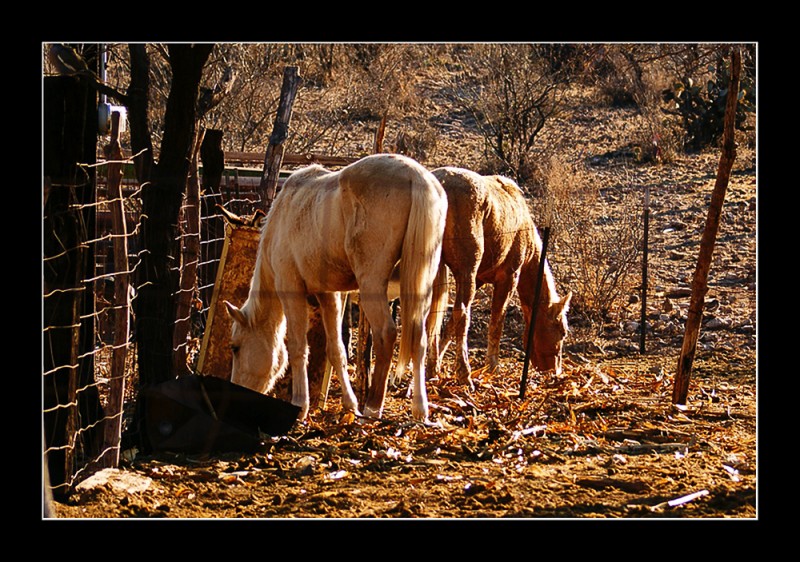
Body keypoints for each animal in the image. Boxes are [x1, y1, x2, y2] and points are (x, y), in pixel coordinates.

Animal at [227, 153, 450, 420]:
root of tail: (415, 175)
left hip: (372, 284)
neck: (284, 214)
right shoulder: (328, 295)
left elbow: (298, 348)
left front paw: (300, 405)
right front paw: (349, 403)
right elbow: (336, 350)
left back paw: (373, 406)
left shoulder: (291, 289)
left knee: (386, 333)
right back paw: (419, 408)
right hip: (419, 288)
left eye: (235, 348)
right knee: (419, 338)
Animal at [424, 165, 568, 384]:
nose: (555, 371)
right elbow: (496, 322)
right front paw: (492, 366)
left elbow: (448, 325)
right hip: (466, 272)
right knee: (462, 314)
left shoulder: (479, 280)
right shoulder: (508, 278)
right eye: (562, 332)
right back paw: (464, 374)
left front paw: (437, 362)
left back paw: (431, 369)